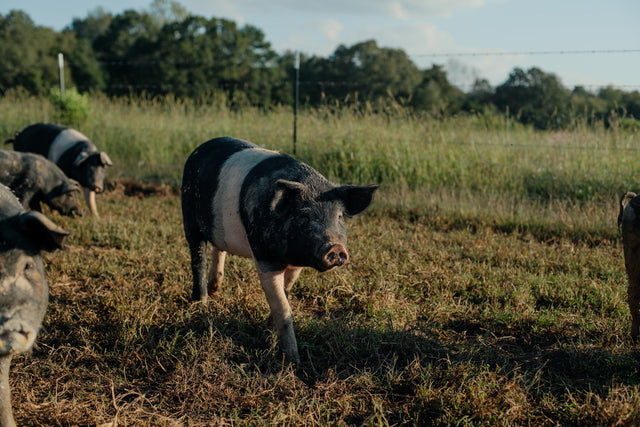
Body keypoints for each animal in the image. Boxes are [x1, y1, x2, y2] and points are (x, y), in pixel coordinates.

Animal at [180, 138, 378, 364]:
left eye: (339, 217)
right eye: (304, 216)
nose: (335, 248)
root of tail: (199, 149)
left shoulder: (295, 265)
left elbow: (286, 292)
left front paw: (269, 326)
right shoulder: (265, 257)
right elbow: (282, 308)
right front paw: (293, 361)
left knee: (218, 249)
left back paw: (215, 290)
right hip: (188, 214)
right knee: (198, 258)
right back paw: (201, 304)